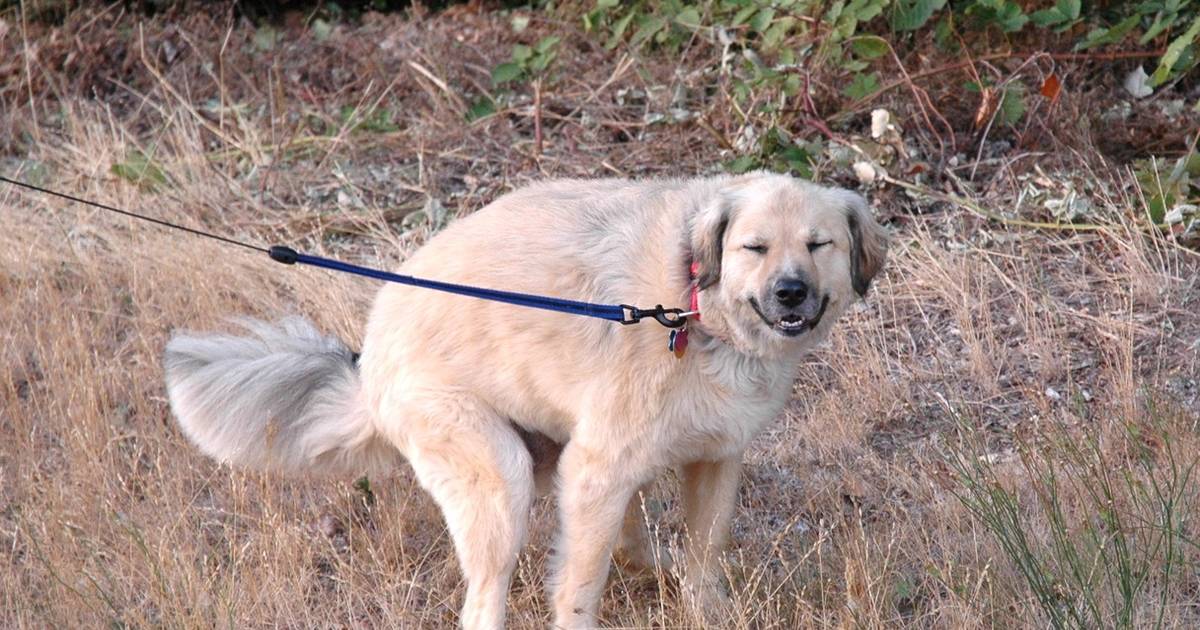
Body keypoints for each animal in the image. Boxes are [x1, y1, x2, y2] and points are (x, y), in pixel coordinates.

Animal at [164, 169, 888, 624]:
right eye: (754, 247)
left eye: (818, 245)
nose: (791, 293)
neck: (691, 304)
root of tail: (368, 363)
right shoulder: (596, 471)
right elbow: (577, 589)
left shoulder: (714, 461)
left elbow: (704, 559)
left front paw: (701, 609)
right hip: (501, 479)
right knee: (485, 602)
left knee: (628, 536)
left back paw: (649, 566)